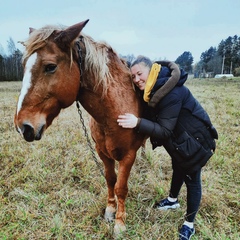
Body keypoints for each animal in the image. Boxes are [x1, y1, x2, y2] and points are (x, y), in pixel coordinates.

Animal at [15, 19, 145, 237]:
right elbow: (111, 179)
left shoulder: (128, 155)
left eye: (50, 67)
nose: (22, 126)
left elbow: (121, 187)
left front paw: (119, 223)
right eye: (24, 67)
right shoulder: (102, 153)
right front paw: (110, 210)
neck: (115, 110)